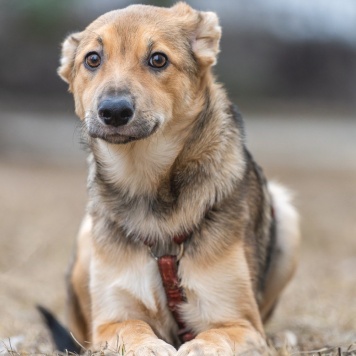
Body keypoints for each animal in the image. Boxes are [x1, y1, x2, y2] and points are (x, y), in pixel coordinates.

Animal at [56, 2, 300, 354]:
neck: (145, 181)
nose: (114, 112)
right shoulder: (110, 322)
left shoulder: (241, 323)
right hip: (88, 237)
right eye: (92, 59)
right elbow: (131, 329)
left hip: (286, 216)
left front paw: (198, 347)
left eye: (158, 59)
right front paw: (149, 346)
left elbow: (215, 336)